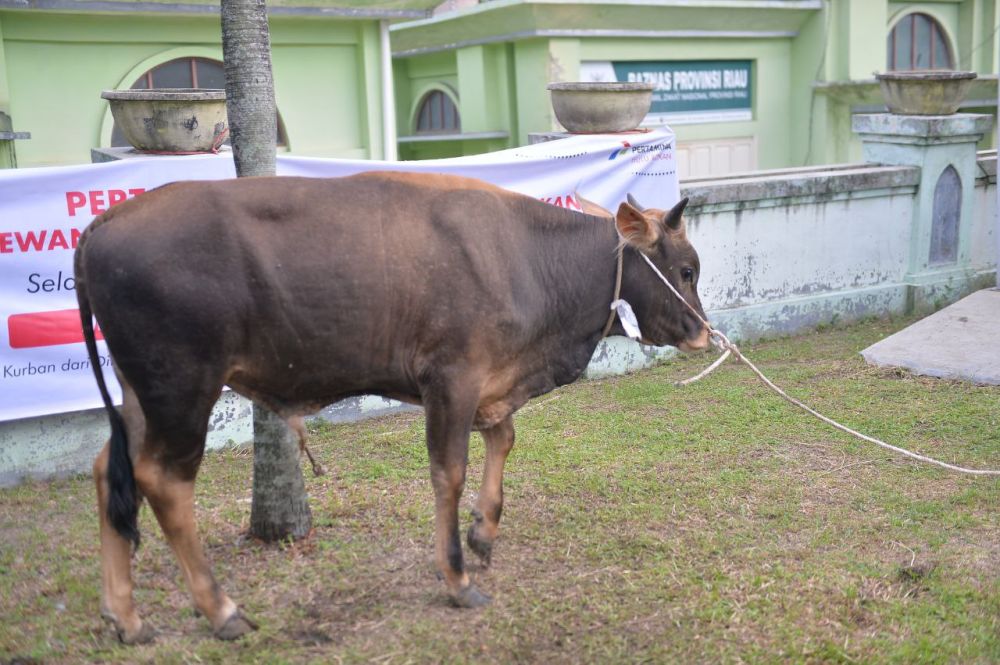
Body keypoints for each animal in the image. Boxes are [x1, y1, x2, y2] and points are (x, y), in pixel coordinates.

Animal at [74, 172, 708, 644]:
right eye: (685, 270)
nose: (704, 333)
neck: (528, 260)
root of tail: (105, 225)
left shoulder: (491, 381)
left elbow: (502, 438)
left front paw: (483, 531)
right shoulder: (452, 378)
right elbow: (449, 472)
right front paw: (456, 576)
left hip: (141, 392)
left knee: (111, 470)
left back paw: (125, 615)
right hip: (182, 388)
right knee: (165, 482)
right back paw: (220, 610)